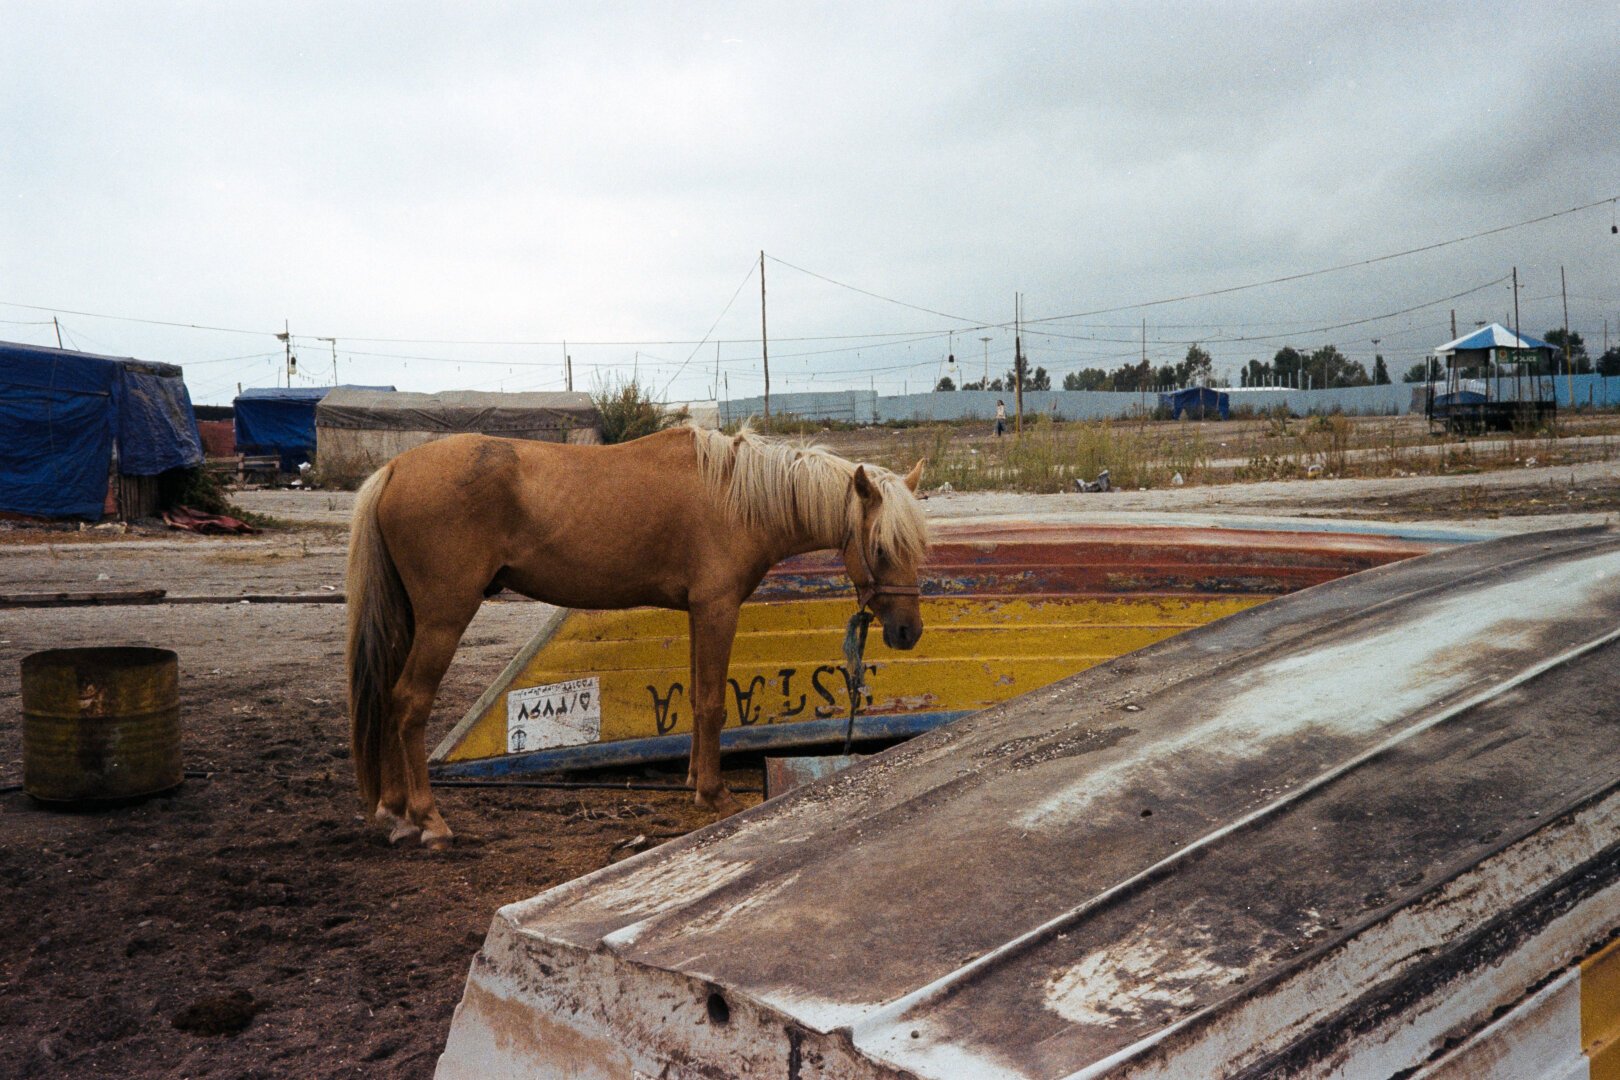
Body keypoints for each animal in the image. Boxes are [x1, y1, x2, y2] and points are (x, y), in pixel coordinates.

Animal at [345, 427, 926, 848]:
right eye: (879, 548)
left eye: (917, 546)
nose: (907, 632)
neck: (733, 497)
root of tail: (394, 468)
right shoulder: (717, 610)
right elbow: (713, 702)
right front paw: (714, 794)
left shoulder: (696, 612)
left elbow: (697, 699)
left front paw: (694, 781)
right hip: (443, 620)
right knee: (408, 703)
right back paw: (429, 821)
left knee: (386, 699)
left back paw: (395, 812)